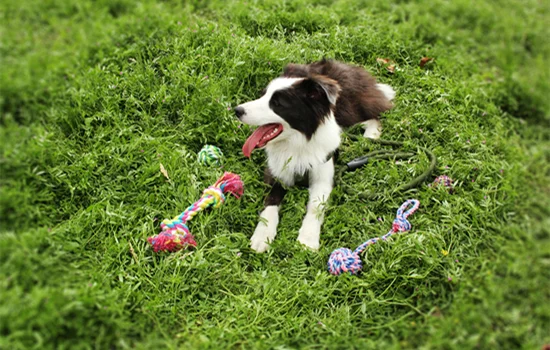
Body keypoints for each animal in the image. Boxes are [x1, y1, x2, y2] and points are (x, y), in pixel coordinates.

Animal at [235, 59, 394, 252]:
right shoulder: (277, 172)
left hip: (349, 109)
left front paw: (307, 238)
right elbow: (270, 203)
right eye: (262, 95)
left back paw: (371, 135)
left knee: (375, 113)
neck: (298, 144)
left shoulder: (323, 176)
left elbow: (315, 207)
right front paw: (262, 235)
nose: (237, 110)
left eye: (277, 103)